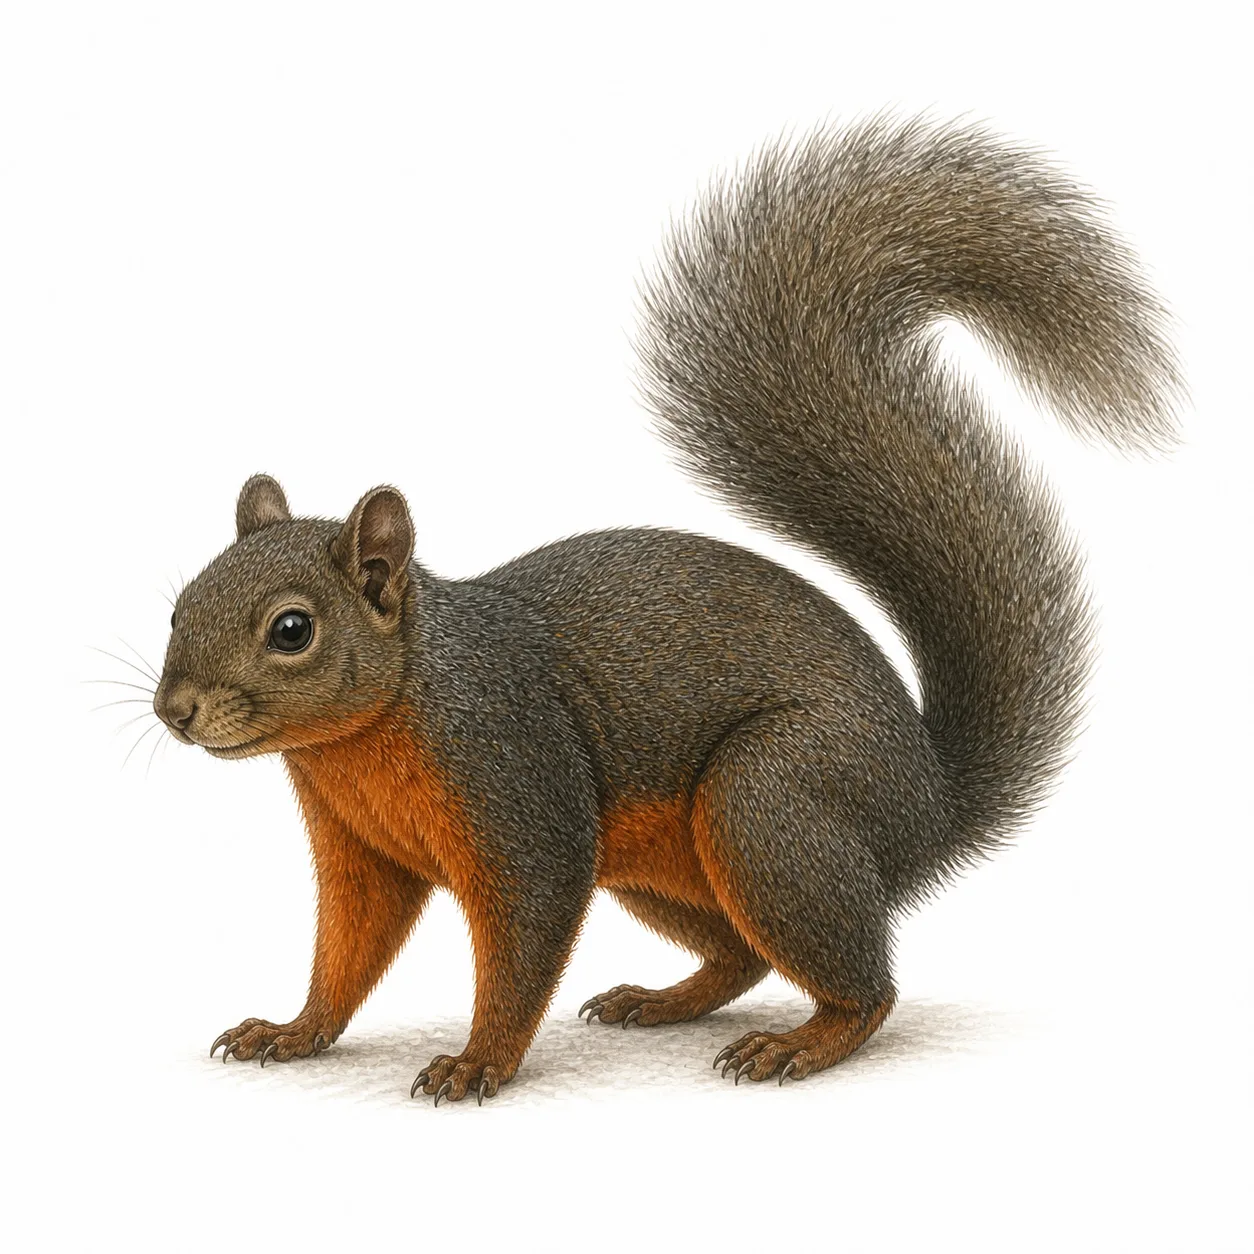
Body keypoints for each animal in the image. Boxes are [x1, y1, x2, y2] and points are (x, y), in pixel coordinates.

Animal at [154, 116, 1180, 1104]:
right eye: (177, 607)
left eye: (292, 630)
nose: (174, 710)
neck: (367, 733)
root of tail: (928, 807)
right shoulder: (359, 849)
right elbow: (350, 948)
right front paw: (293, 1031)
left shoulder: (518, 784)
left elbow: (523, 943)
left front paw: (479, 1063)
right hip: (664, 864)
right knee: (740, 956)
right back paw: (660, 1000)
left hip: (770, 804)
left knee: (866, 986)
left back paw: (799, 1044)